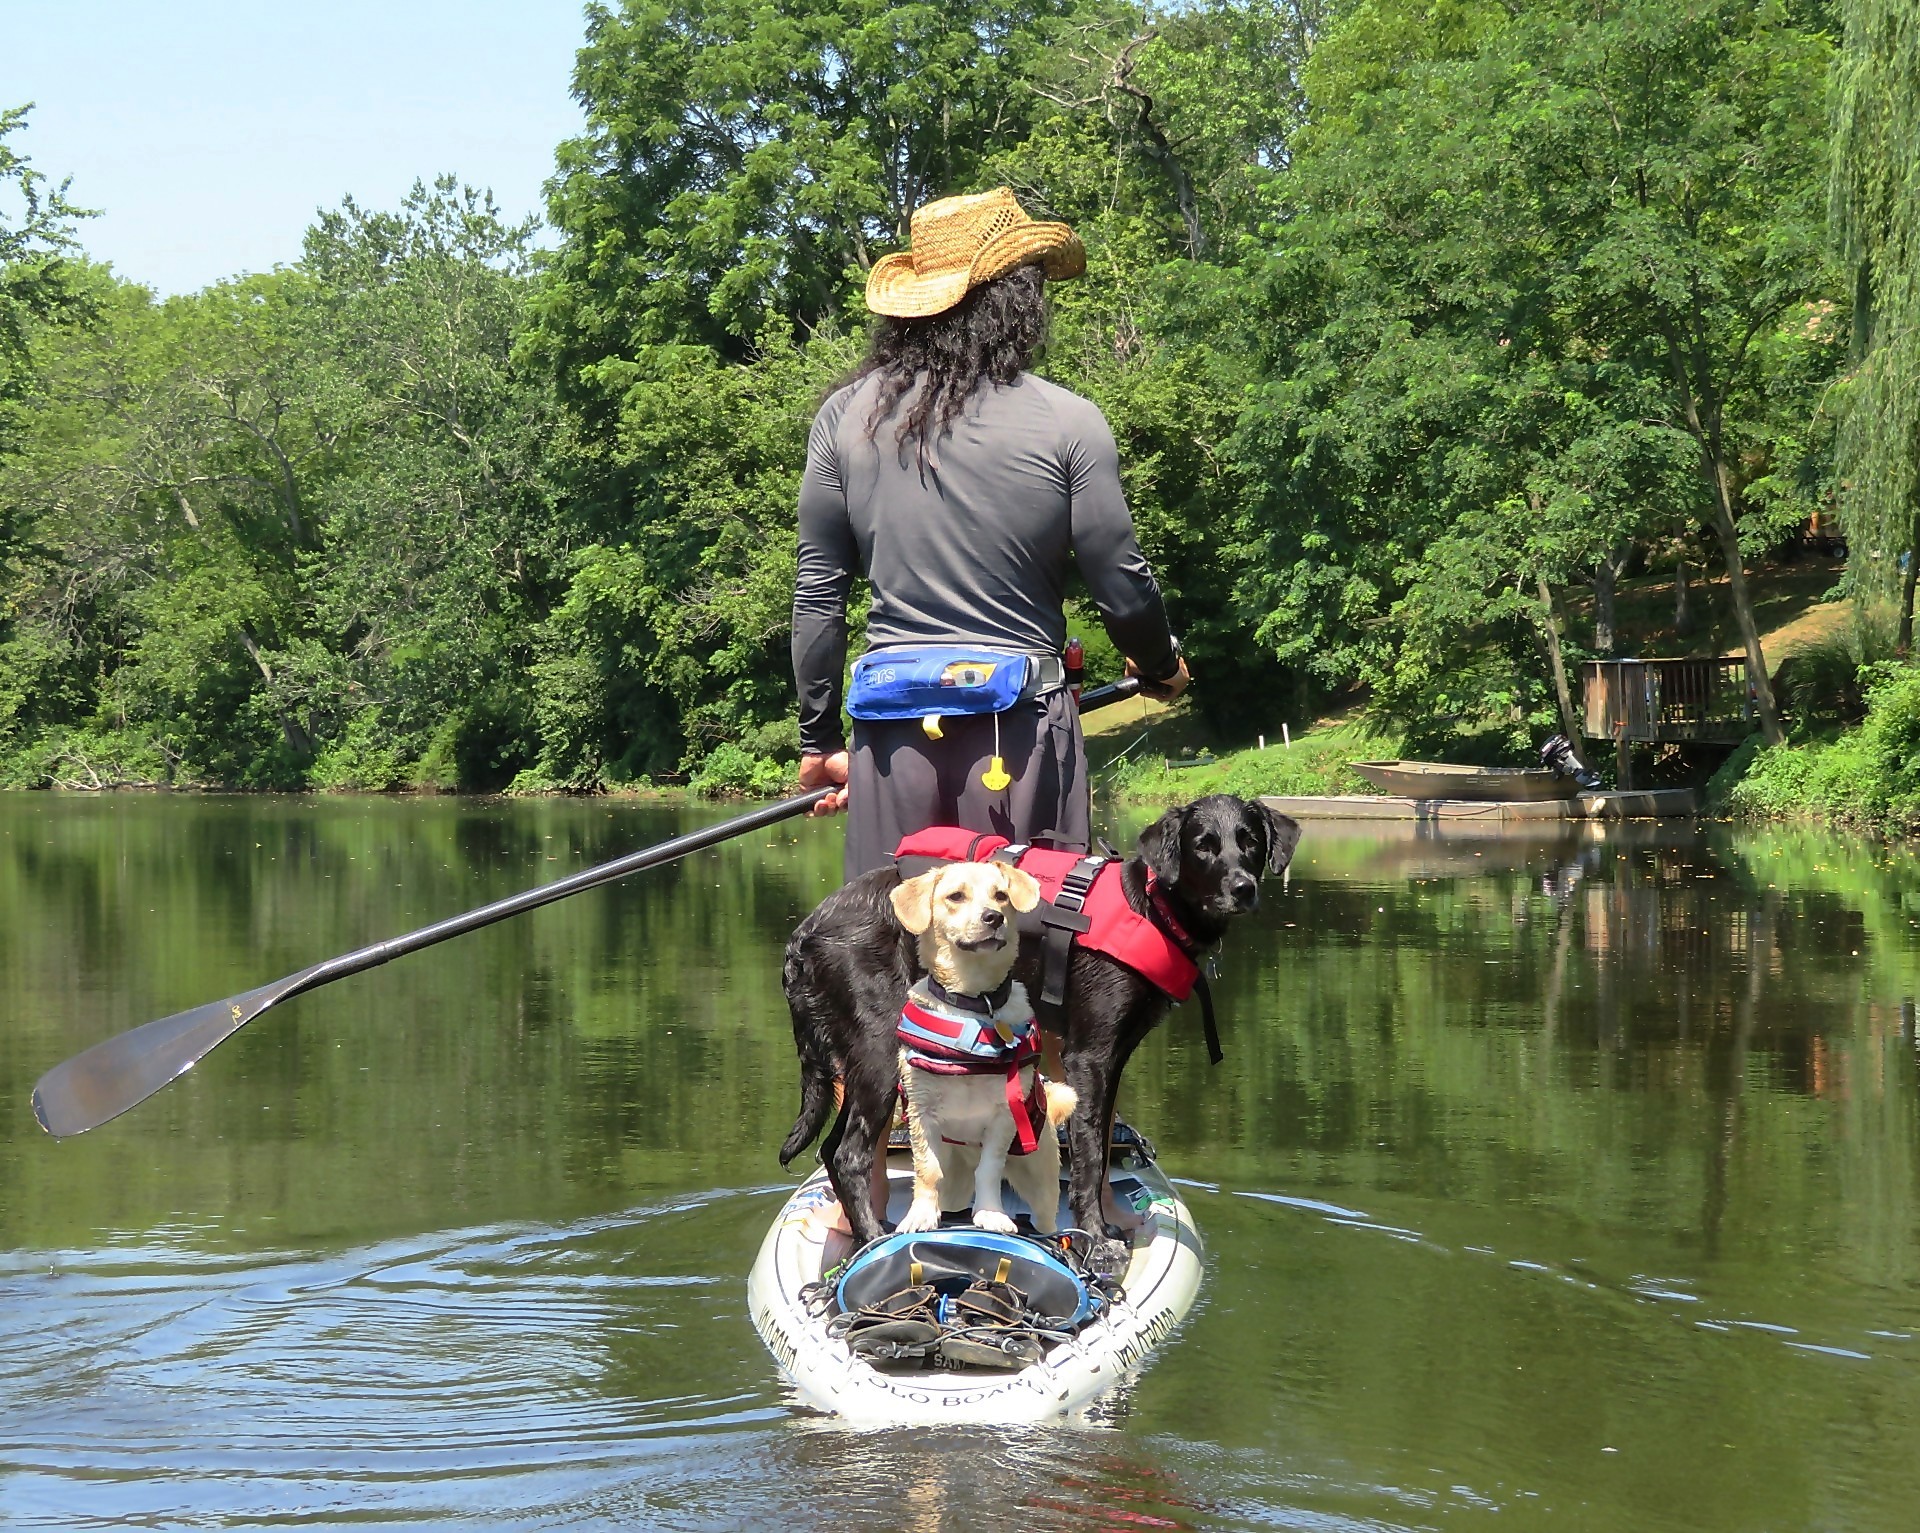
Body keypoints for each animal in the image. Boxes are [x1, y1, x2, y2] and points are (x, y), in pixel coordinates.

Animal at [887, 864, 1082, 1237]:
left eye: (1001, 895)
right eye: (955, 896)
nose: (993, 916)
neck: (975, 1002)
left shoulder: (1003, 1117)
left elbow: (990, 1169)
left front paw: (991, 1214)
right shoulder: (921, 1114)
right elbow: (927, 1170)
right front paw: (920, 1215)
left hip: (1040, 1178)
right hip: (956, 1181)